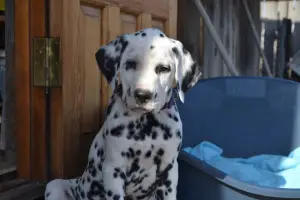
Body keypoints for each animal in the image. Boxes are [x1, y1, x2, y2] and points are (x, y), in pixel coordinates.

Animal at [44, 28, 202, 200]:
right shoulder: (114, 170)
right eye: (131, 64)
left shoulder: (169, 170)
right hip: (55, 186)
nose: (142, 95)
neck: (146, 124)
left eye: (164, 68)